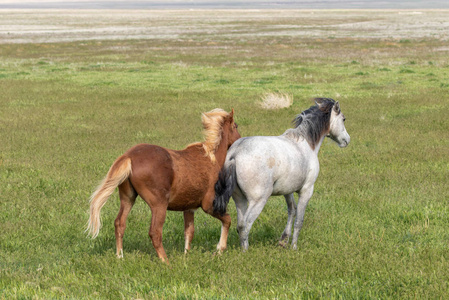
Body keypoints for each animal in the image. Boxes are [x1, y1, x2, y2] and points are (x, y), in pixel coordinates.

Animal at [88, 108, 242, 262]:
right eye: (235, 126)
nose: (240, 139)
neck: (211, 159)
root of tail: (129, 156)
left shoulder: (189, 208)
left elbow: (189, 232)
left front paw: (186, 255)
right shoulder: (209, 205)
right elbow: (227, 220)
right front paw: (219, 250)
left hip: (128, 198)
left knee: (119, 223)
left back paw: (120, 256)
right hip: (159, 205)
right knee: (155, 232)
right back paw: (165, 261)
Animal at [214, 99, 350, 251]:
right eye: (343, 119)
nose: (347, 140)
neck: (306, 143)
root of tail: (235, 153)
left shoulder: (287, 191)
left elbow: (292, 210)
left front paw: (284, 240)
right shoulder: (306, 190)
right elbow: (299, 220)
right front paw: (294, 246)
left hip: (240, 200)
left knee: (240, 224)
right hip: (258, 201)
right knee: (245, 225)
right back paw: (246, 251)